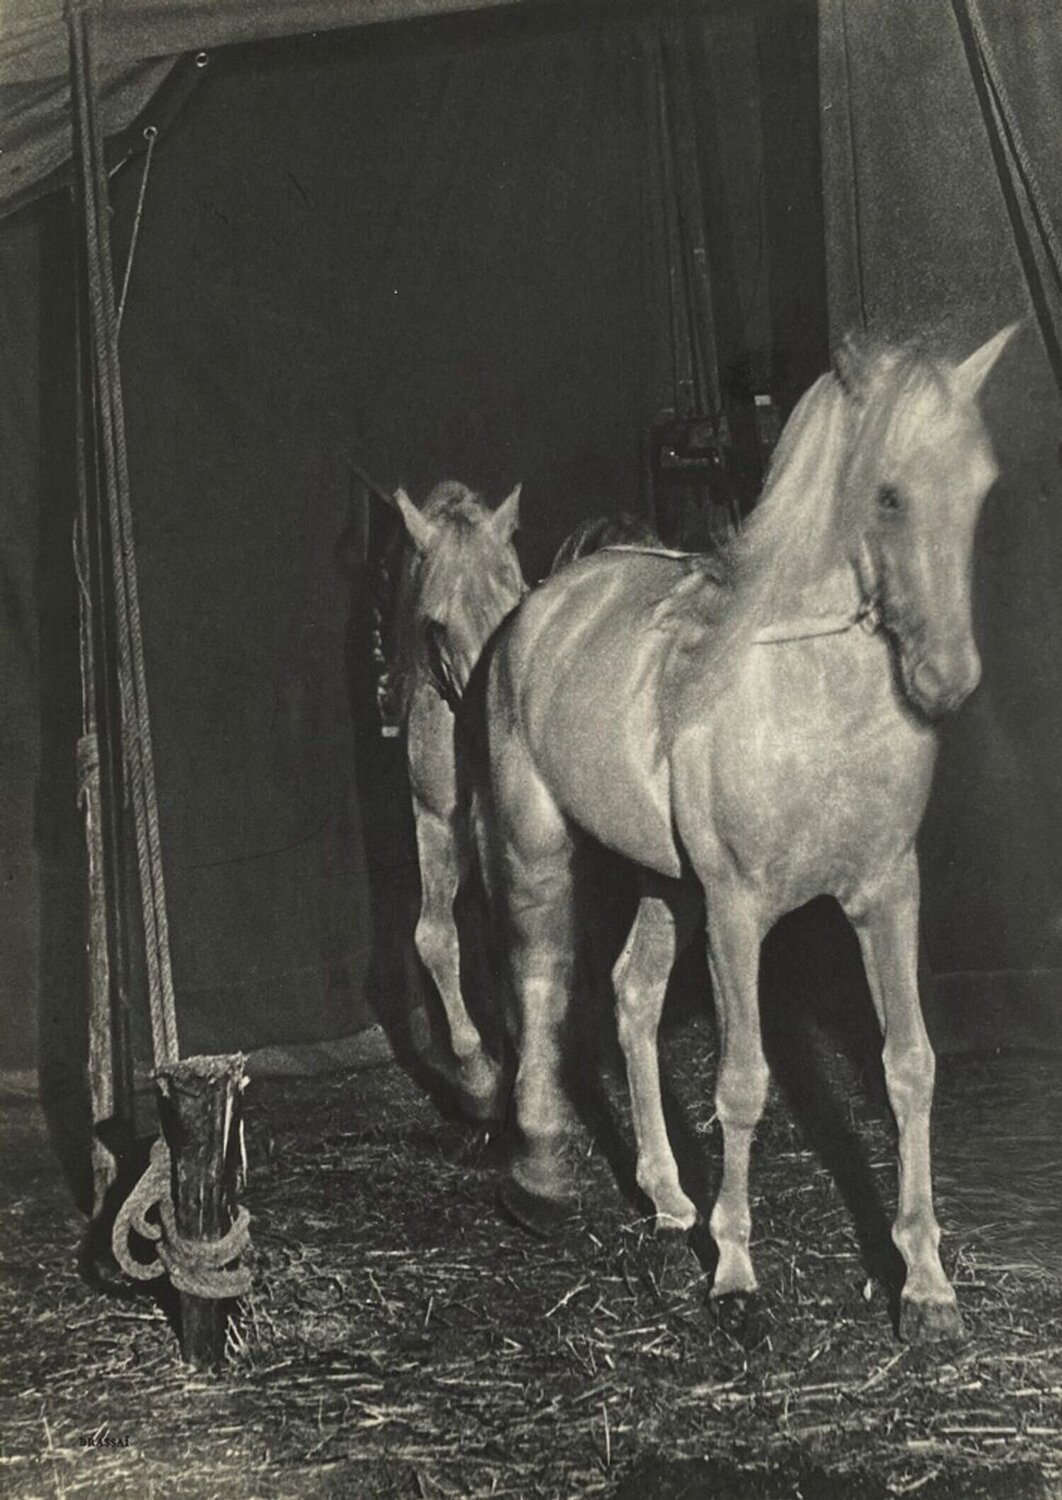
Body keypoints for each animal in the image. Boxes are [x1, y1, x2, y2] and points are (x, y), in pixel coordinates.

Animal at [484, 326, 1017, 1343]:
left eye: (981, 486)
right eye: (887, 494)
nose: (948, 681)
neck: (814, 705)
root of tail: (550, 600)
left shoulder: (887, 894)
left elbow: (909, 1066)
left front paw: (926, 1286)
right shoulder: (738, 912)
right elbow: (742, 1081)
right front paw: (735, 1274)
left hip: (666, 885)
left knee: (633, 996)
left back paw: (665, 1196)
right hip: (538, 850)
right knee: (539, 985)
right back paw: (539, 1181)